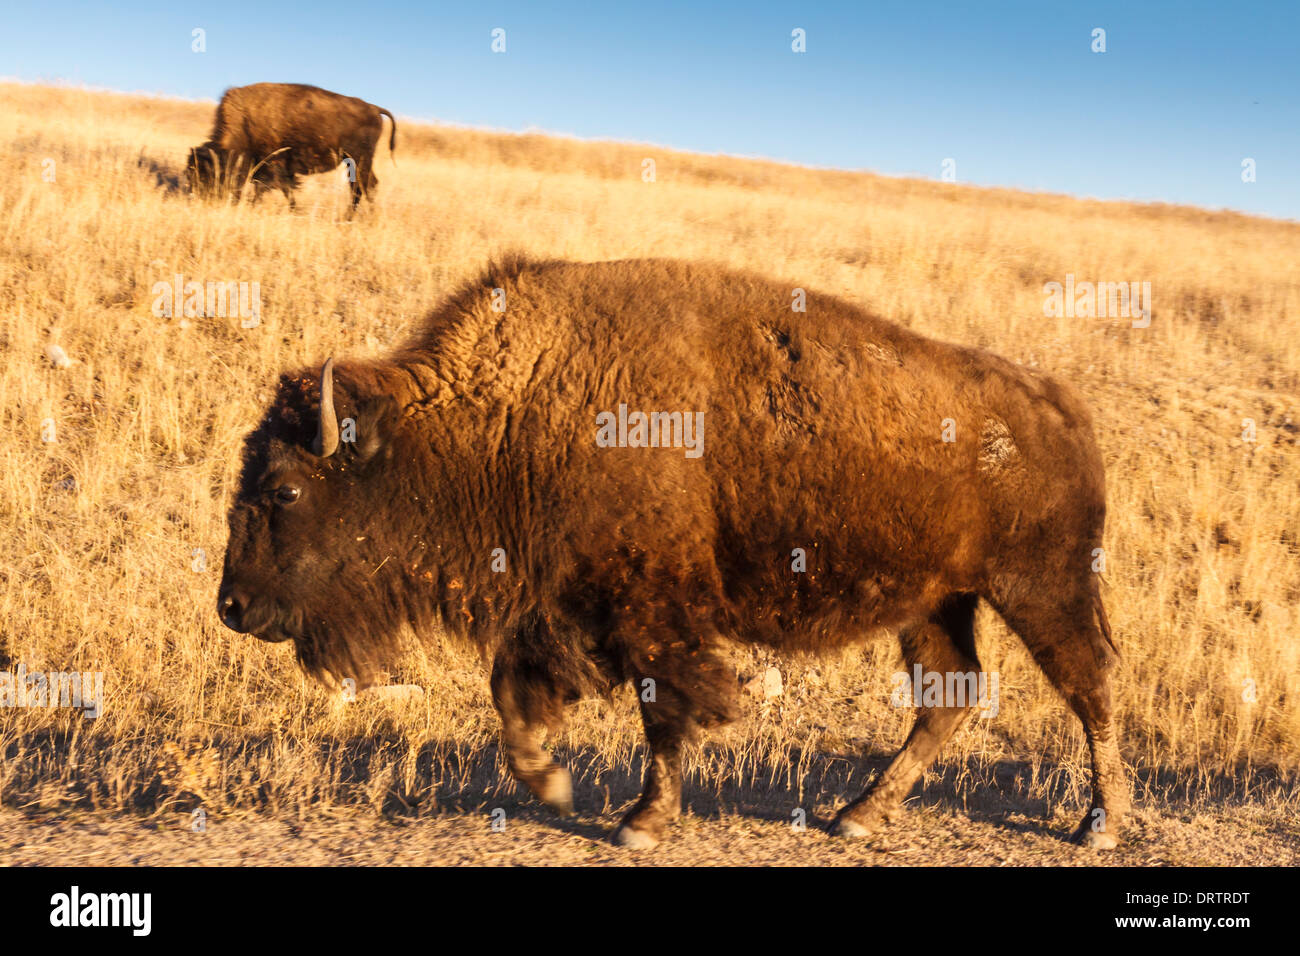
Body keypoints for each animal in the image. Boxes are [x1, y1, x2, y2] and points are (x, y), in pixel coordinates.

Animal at [185, 82, 392, 210]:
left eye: (206, 174)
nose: (196, 198)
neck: (244, 122)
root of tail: (374, 109)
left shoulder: (272, 166)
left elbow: (271, 188)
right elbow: (283, 190)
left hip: (358, 160)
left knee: (361, 187)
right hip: (357, 162)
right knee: (367, 186)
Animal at [215, 256, 1128, 853]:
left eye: (285, 491)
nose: (232, 605)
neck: (517, 413)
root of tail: (1062, 407)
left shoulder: (651, 614)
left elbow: (664, 713)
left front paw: (640, 825)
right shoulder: (562, 608)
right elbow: (517, 698)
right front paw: (554, 783)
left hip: (1039, 588)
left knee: (1089, 684)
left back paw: (1099, 826)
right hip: (938, 601)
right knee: (950, 693)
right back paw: (857, 816)